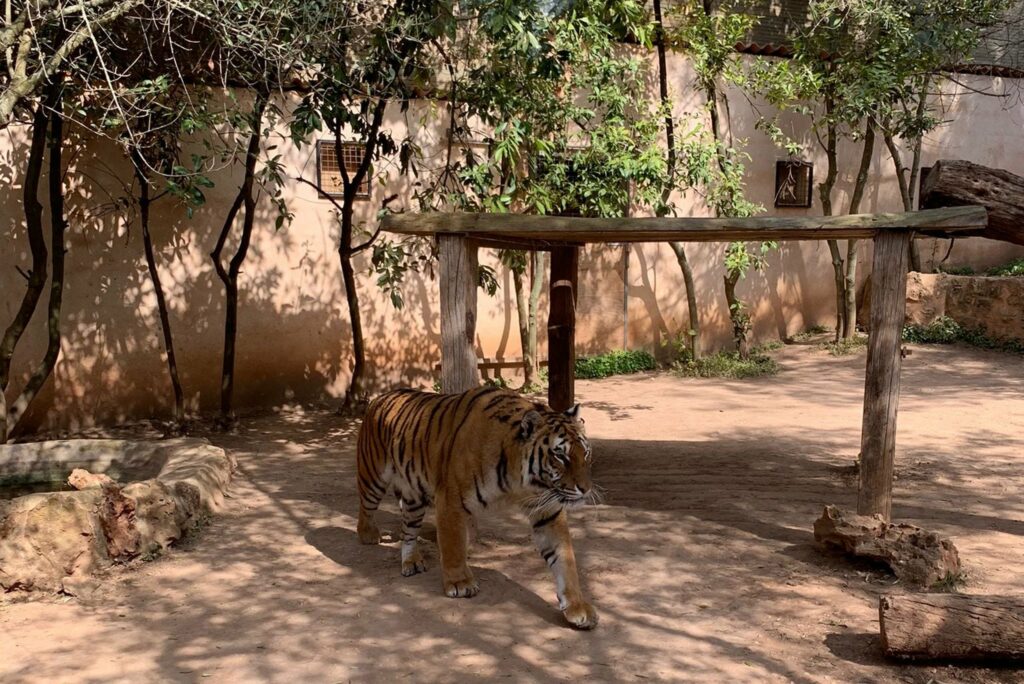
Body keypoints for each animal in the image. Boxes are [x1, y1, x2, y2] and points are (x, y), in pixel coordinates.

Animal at [356, 387, 598, 626]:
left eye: (586, 452)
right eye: (560, 455)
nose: (585, 489)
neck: (521, 480)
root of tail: (381, 396)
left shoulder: (547, 511)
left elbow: (565, 558)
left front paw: (577, 607)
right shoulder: (451, 500)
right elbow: (453, 546)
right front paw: (460, 583)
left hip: (414, 496)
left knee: (408, 530)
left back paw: (412, 562)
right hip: (373, 476)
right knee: (365, 508)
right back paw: (369, 534)